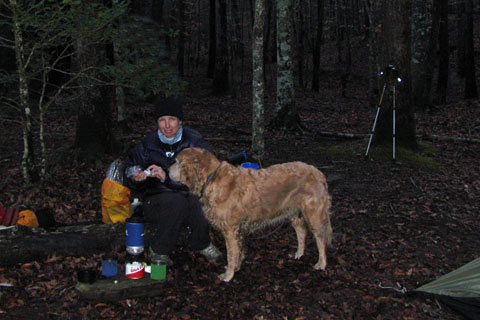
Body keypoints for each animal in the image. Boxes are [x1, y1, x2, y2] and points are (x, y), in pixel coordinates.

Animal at [167, 148, 332, 282]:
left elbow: (231, 254)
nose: (166, 169)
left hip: (313, 214)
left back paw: (322, 263)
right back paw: (299, 253)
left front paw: (228, 275)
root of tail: (318, 172)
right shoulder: (238, 230)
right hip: (291, 211)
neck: (211, 178)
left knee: (321, 238)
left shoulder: (230, 230)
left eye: (176, 162)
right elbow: (238, 252)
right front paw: (237, 267)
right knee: (301, 231)